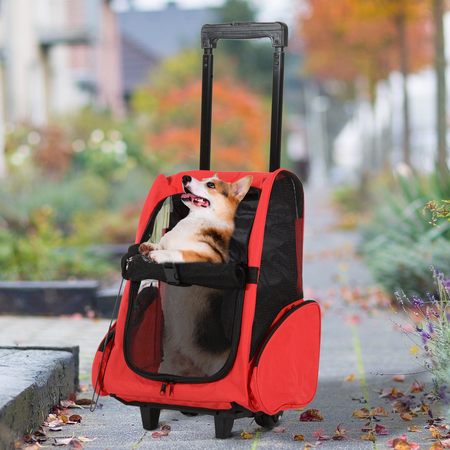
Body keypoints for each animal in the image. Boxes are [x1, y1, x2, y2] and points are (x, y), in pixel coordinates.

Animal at [139, 174, 253, 378]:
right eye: (204, 178)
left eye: (211, 185)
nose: (185, 177)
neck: (197, 219)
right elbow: (160, 245)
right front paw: (149, 246)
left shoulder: (208, 258)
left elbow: (178, 253)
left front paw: (160, 255)